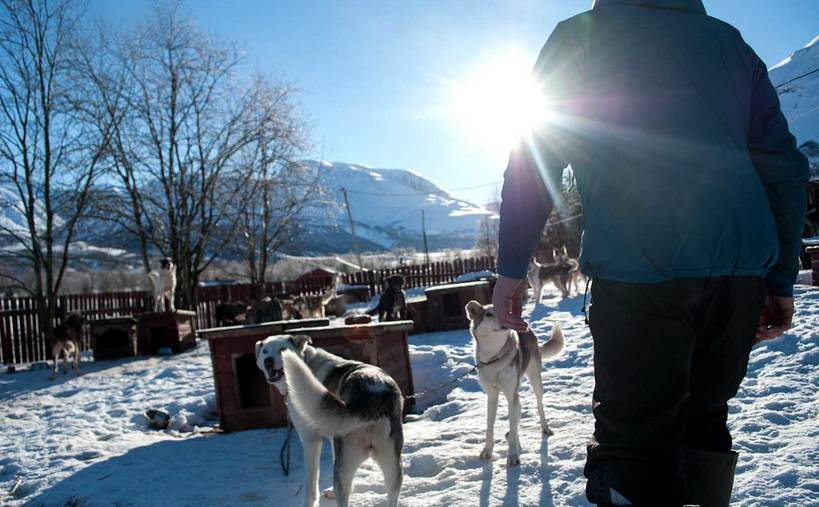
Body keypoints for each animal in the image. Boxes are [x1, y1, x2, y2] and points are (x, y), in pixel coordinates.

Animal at [256, 336, 404, 506]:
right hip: (392, 466)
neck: (307, 361)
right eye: (265, 351)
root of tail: (372, 397)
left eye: (282, 349)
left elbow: (311, 483)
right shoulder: (333, 440)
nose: (268, 361)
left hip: (344, 466)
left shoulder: (311, 440)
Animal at [468, 302, 564, 468]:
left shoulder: (510, 394)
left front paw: (513, 456)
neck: (494, 359)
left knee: (539, 405)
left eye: (503, 312)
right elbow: (490, 427)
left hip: (535, 381)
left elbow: (513, 429)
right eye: (488, 314)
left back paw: (544, 428)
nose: (505, 321)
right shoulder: (492, 396)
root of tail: (528, 328)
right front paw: (487, 451)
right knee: (518, 411)